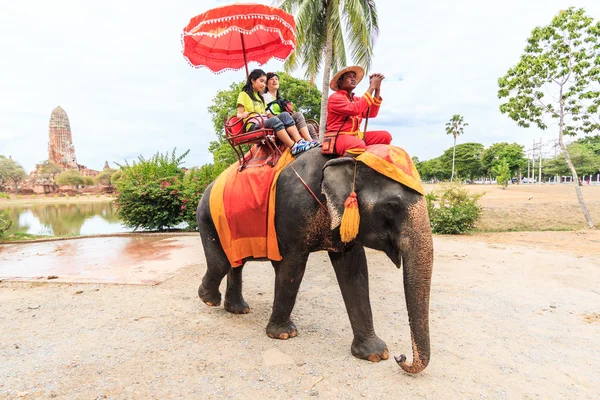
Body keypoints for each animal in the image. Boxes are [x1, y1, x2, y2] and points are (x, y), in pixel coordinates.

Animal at [197, 148, 436, 374]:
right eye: (391, 205)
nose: (401, 357)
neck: (345, 156)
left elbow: (355, 271)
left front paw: (375, 354)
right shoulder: (293, 211)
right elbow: (292, 267)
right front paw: (284, 334)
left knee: (235, 263)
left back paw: (237, 309)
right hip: (207, 217)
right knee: (222, 262)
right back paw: (209, 299)